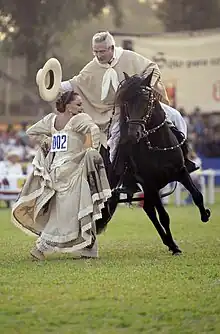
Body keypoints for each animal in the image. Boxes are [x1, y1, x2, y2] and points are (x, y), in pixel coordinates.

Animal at [95, 70, 211, 253]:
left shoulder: (181, 172)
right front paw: (175, 247)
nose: (133, 133)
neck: (157, 145)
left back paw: (169, 242)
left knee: (148, 209)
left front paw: (205, 215)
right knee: (149, 210)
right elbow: (164, 216)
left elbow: (197, 195)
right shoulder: (150, 183)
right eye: (126, 102)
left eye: (145, 100)